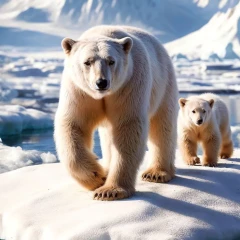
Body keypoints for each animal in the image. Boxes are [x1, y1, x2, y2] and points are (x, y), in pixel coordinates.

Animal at [54, 25, 178, 201]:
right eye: (87, 62)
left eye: (111, 61)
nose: (101, 82)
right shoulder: (79, 91)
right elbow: (74, 124)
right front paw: (98, 177)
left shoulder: (130, 83)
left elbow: (128, 127)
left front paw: (109, 190)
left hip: (164, 82)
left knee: (162, 126)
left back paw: (156, 173)